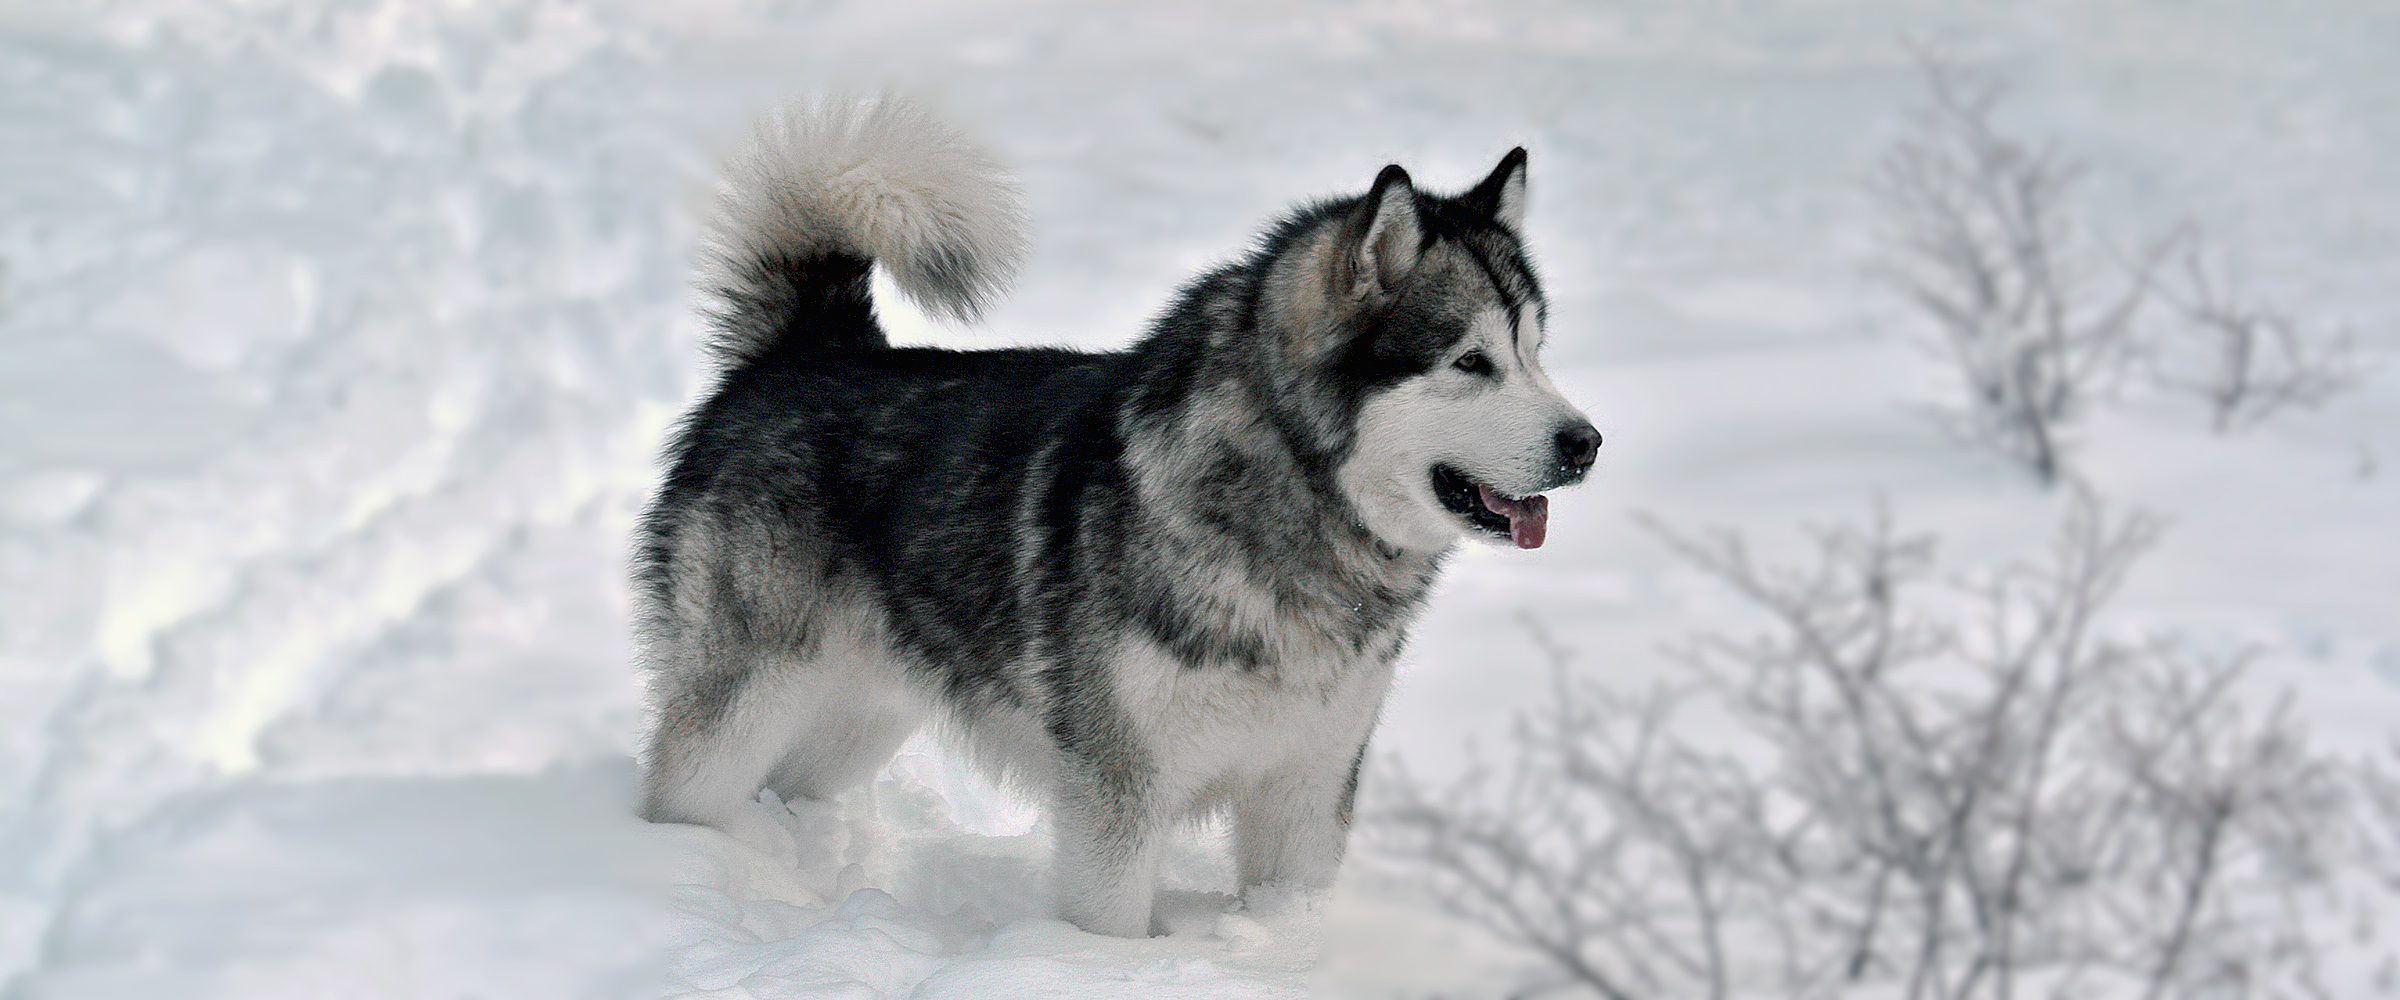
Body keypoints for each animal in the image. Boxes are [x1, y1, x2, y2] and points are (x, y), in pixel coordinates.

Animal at [638, 95, 1603, 935]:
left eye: (1534, 353)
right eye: (1471, 361)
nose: (1587, 444)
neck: (1287, 525)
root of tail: (809, 351)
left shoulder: (1306, 790)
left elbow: (1290, 905)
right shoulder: (1120, 793)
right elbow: (1110, 924)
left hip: (856, 720)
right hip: (742, 712)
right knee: (679, 797)